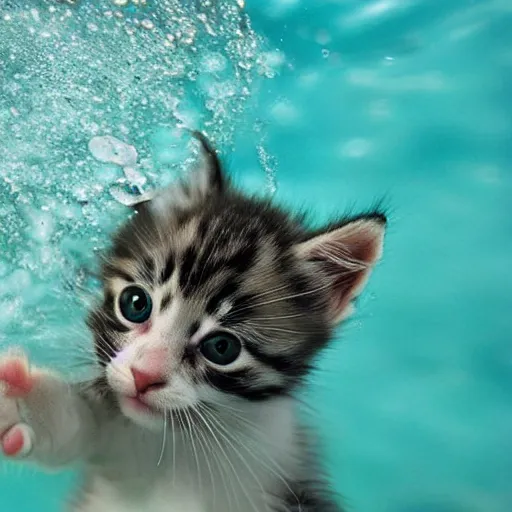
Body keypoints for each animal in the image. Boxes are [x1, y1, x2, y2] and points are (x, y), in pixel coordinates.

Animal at [0, 133, 384, 512]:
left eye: (222, 347)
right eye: (135, 304)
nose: (143, 377)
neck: (184, 448)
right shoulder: (119, 442)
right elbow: (84, 424)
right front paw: (27, 404)